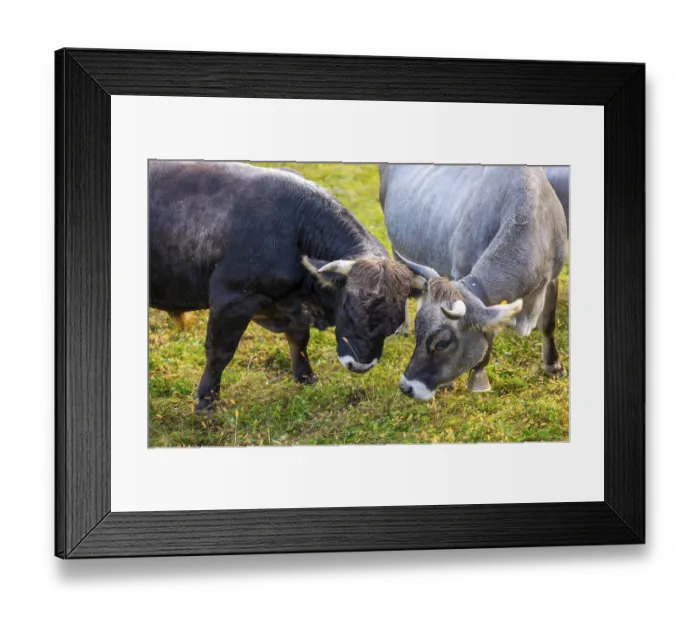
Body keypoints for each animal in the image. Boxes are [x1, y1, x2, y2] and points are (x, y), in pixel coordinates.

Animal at [149, 161, 424, 410]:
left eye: (394, 324)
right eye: (349, 307)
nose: (360, 365)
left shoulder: (291, 305)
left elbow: (300, 340)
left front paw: (306, 378)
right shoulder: (232, 299)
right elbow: (220, 352)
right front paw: (207, 398)